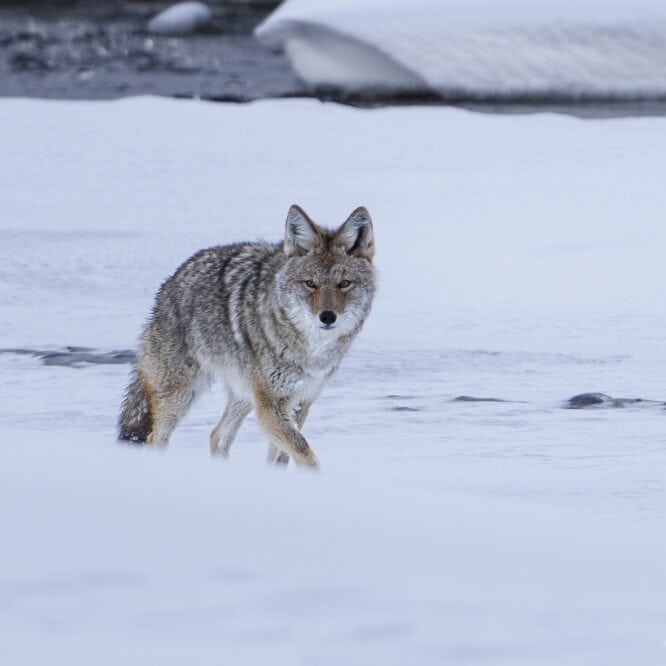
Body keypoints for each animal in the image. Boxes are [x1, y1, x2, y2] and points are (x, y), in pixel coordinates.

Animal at [118, 205, 376, 469]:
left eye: (344, 284)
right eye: (310, 284)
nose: (327, 317)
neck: (310, 350)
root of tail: (169, 284)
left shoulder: (300, 402)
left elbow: (283, 457)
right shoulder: (272, 405)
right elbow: (305, 454)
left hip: (244, 394)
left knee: (217, 435)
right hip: (182, 395)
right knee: (156, 437)